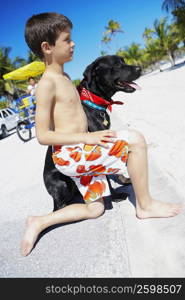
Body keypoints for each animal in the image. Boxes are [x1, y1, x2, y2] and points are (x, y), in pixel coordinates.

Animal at [42, 55, 141, 211]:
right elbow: (106, 177)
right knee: (60, 205)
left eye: (123, 61)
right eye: (116, 65)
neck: (94, 101)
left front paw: (123, 180)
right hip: (61, 183)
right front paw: (115, 196)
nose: (139, 68)